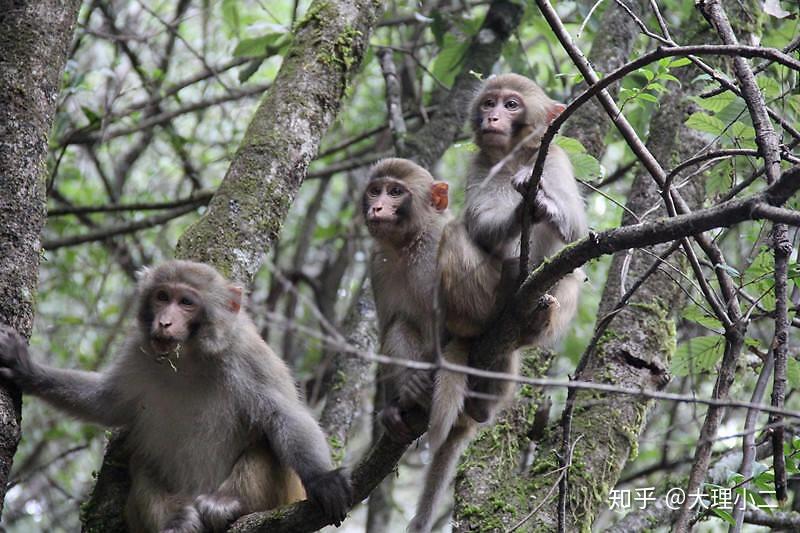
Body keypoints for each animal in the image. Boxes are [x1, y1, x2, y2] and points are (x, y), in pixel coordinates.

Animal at [0, 260, 350, 528]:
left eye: (186, 302)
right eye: (162, 296)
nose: (165, 322)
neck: (189, 358)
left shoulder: (249, 355)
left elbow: (284, 415)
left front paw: (323, 479)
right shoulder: (138, 351)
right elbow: (107, 402)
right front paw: (26, 369)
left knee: (267, 441)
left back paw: (229, 503)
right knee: (142, 461)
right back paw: (177, 521)